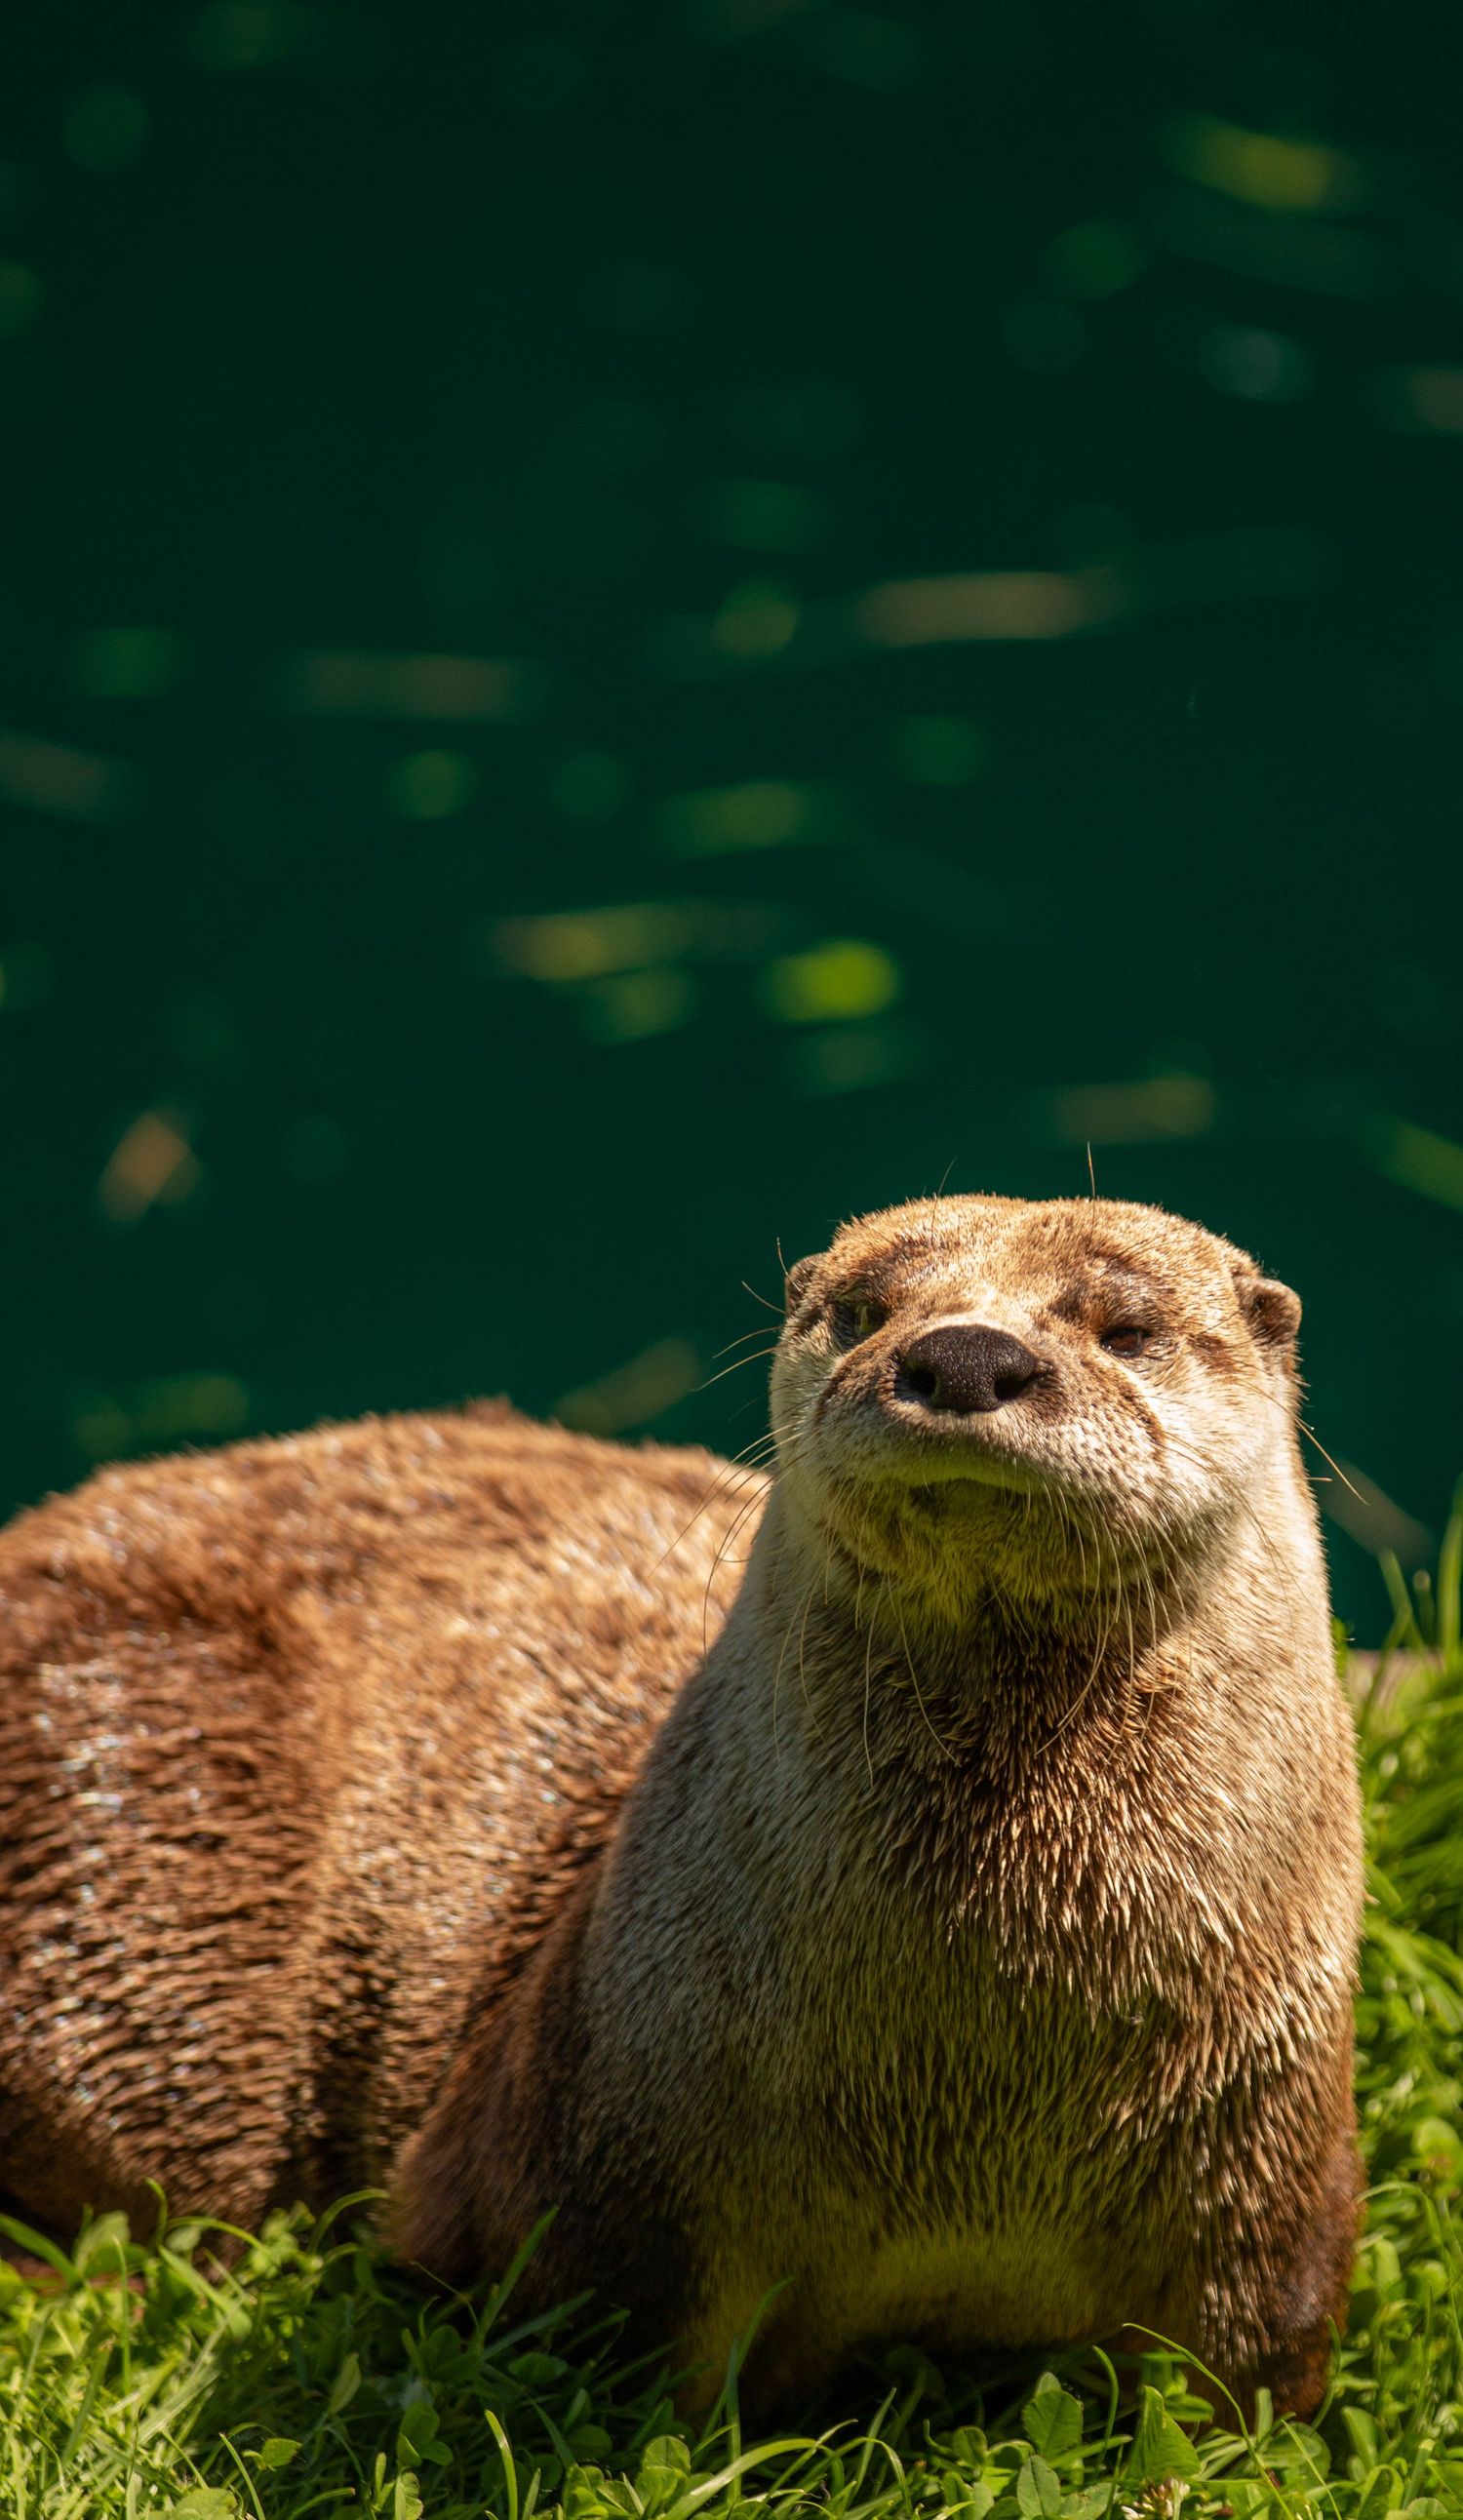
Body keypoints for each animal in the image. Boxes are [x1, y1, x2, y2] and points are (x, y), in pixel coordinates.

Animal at [0, 1197, 1362, 2422]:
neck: (981, 2091)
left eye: (1125, 1326)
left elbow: (1250, 2387)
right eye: (864, 1309)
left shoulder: (1271, 2184)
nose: (966, 1354)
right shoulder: (602, 2166)